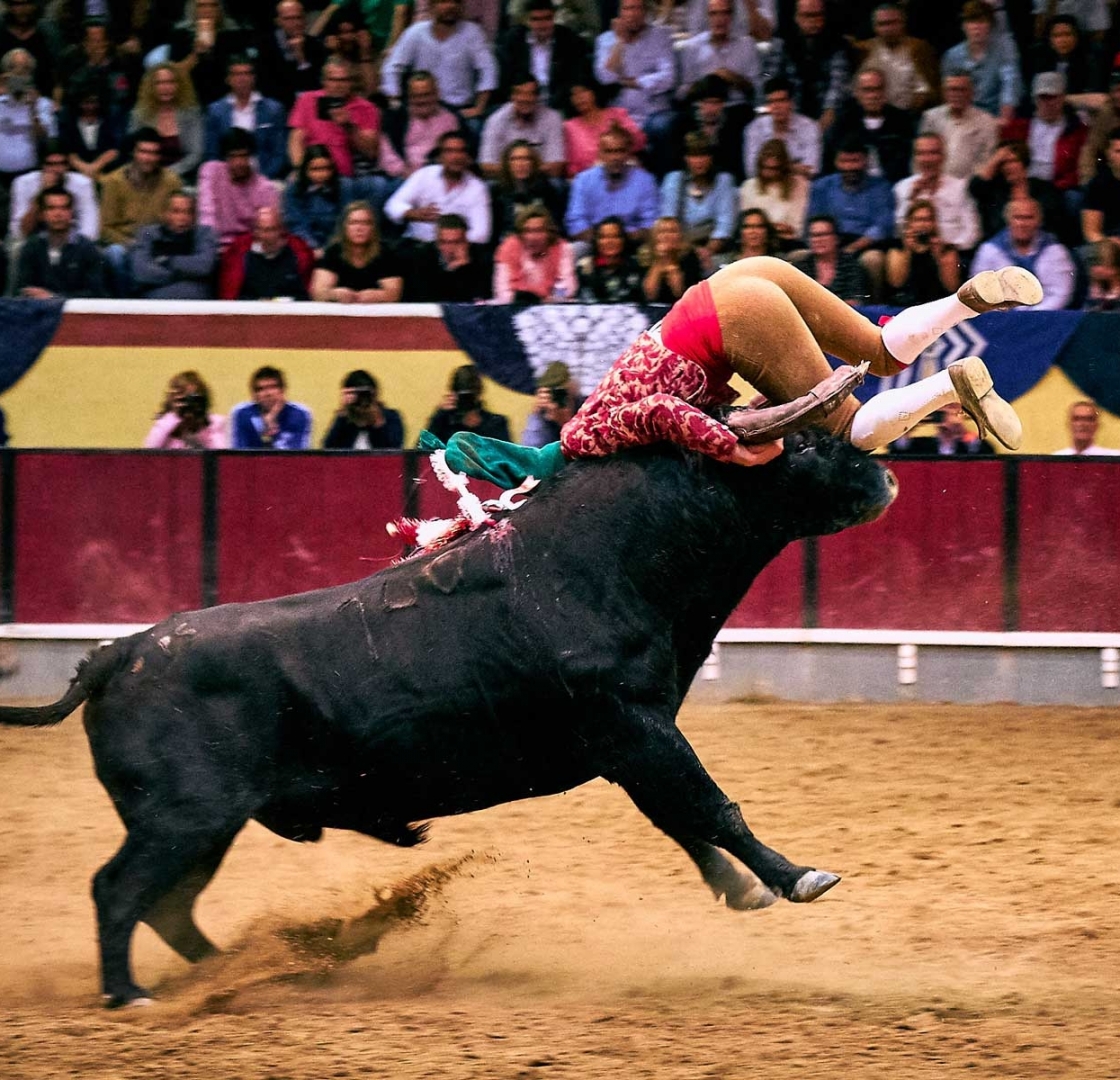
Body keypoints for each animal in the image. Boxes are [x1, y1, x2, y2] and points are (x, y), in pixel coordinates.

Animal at [0, 430, 891, 1003]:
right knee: (120, 891)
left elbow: (682, 818)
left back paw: (249, 968)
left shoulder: (628, 742)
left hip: (206, 822)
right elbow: (711, 807)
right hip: (180, 816)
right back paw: (134, 995)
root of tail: (115, 652)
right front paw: (797, 878)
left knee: (170, 904)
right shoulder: (635, 726)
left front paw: (743, 890)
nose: (883, 472)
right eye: (803, 446)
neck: (612, 555)